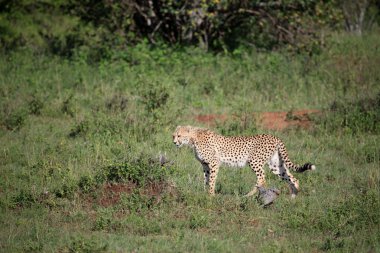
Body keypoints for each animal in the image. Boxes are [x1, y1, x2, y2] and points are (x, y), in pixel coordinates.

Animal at [172, 126, 314, 198]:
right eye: (173, 135)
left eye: (179, 136)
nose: (174, 142)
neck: (193, 138)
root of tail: (274, 136)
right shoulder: (205, 165)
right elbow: (206, 179)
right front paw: (204, 192)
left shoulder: (214, 163)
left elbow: (211, 180)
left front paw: (211, 195)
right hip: (275, 164)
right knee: (293, 178)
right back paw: (293, 198)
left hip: (254, 161)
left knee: (262, 178)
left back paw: (247, 195)